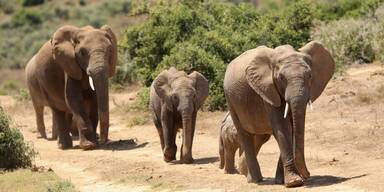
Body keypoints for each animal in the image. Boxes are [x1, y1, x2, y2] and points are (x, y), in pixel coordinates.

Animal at [224, 41, 334, 187]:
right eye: (281, 78)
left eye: (310, 76)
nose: (308, 174)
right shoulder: (267, 89)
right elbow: (283, 127)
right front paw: (294, 182)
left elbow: (291, 128)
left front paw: (283, 181)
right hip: (230, 99)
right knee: (244, 134)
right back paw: (255, 180)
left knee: (260, 137)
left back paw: (246, 172)